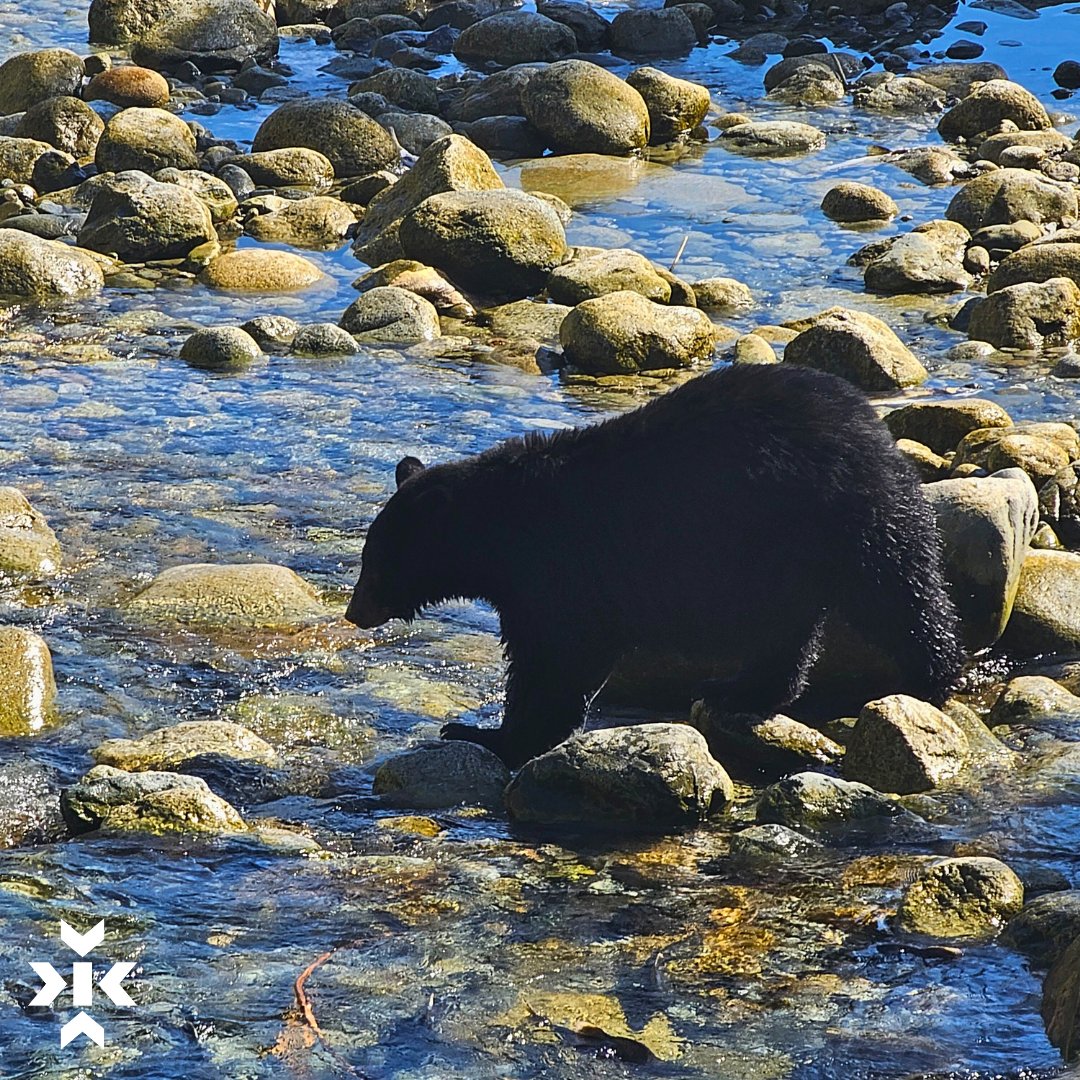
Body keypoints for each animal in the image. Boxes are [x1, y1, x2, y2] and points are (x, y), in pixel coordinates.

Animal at [346, 364, 964, 769]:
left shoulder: (558, 572)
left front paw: (485, 734)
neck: (504, 532)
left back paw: (931, 677)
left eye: (375, 562)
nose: (354, 612)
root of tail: (869, 422)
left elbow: (555, 660)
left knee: (898, 588)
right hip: (784, 557)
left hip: (841, 515)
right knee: (790, 630)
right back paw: (738, 689)